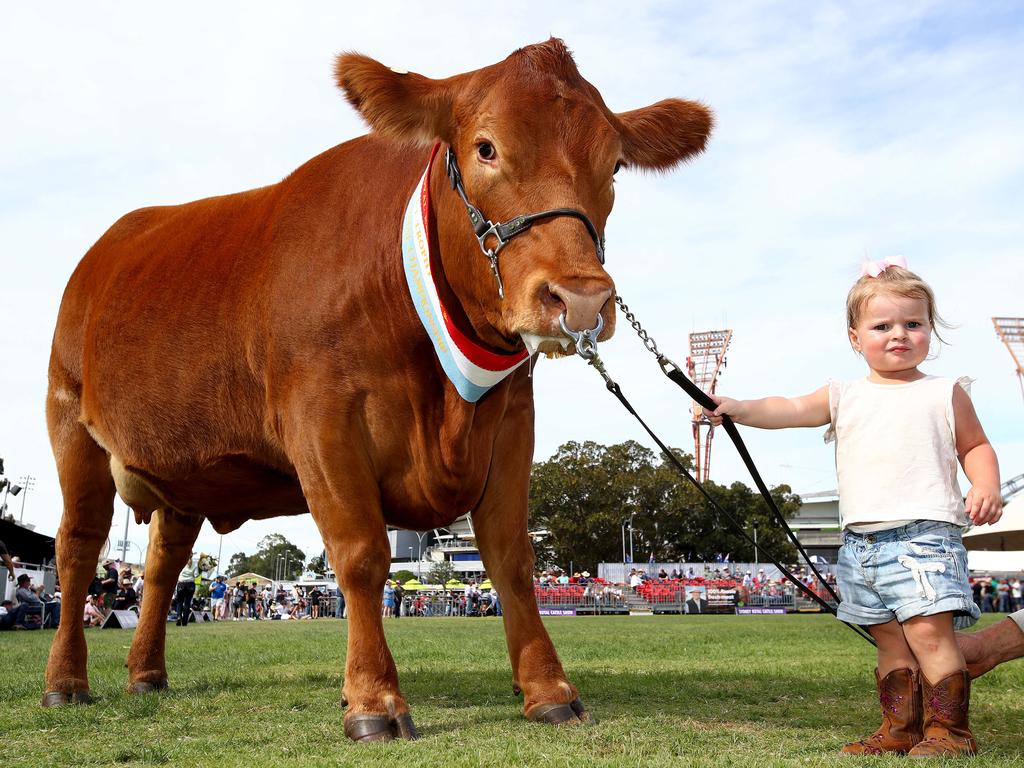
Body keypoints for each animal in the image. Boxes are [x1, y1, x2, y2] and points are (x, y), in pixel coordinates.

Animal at [41, 40, 712, 741]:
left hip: (186, 469)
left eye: (614, 165)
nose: (580, 298)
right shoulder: (321, 421)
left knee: (161, 566)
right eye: (486, 148)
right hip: (69, 423)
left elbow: (512, 560)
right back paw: (66, 683)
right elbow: (361, 555)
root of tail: (103, 248)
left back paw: (146, 674)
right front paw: (373, 700)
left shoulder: (510, 422)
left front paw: (548, 689)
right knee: (77, 547)